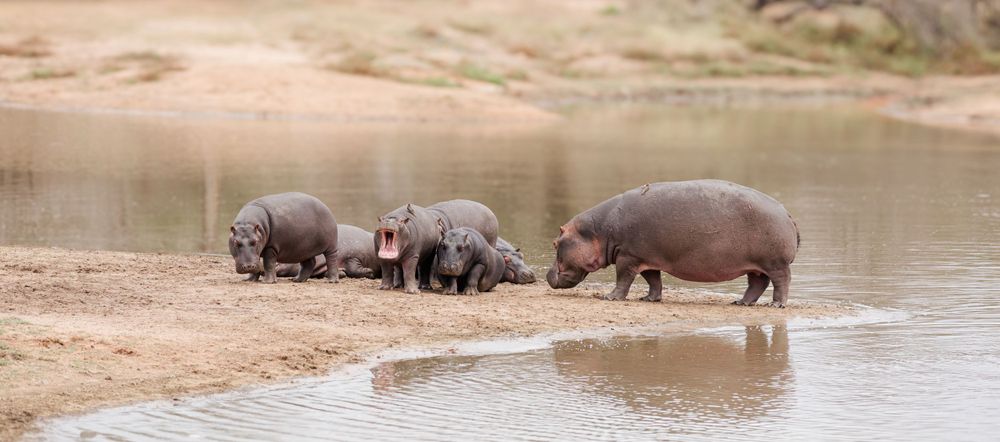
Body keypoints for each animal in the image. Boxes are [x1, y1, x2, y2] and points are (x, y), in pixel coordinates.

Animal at [546, 180, 799, 307]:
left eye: (555, 243)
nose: (547, 275)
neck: (598, 230)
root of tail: (787, 212)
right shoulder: (646, 257)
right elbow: (653, 280)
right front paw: (649, 299)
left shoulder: (628, 257)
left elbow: (623, 279)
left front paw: (610, 298)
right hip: (756, 266)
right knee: (757, 284)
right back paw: (740, 303)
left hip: (775, 263)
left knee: (781, 282)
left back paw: (775, 305)